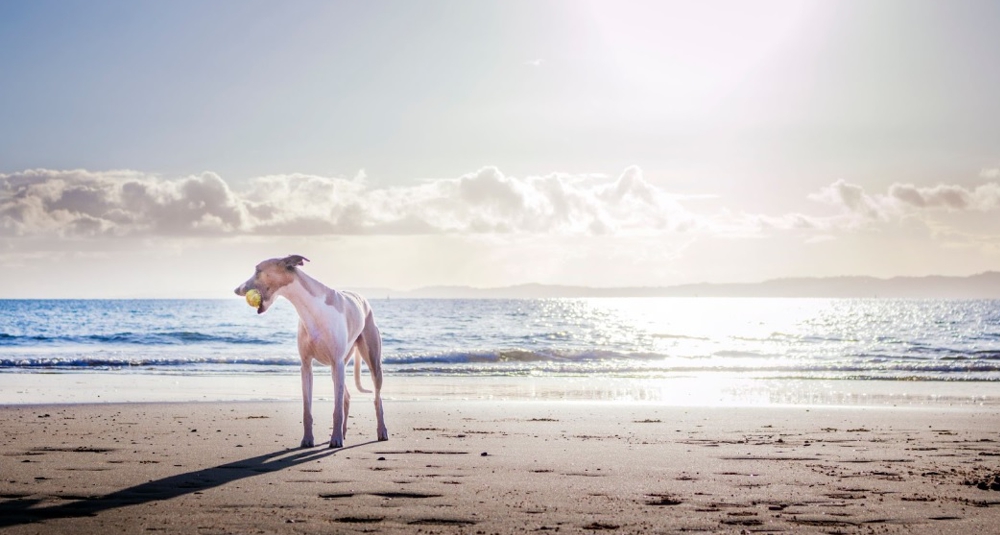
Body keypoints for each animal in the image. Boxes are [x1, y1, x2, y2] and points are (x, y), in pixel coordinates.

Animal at [236, 255, 388, 448]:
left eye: (258, 270)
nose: (236, 290)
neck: (312, 309)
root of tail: (362, 299)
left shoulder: (337, 362)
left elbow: (336, 409)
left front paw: (335, 439)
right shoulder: (306, 365)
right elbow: (307, 409)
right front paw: (308, 439)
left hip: (370, 361)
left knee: (377, 398)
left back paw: (381, 431)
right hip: (337, 369)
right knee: (346, 396)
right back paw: (344, 432)